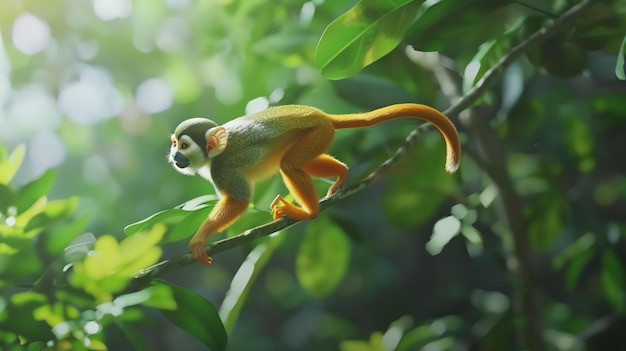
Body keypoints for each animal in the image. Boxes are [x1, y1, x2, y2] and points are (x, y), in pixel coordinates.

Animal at [168, 104, 460, 264]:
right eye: (174, 144)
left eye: (185, 146)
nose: (174, 156)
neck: (212, 156)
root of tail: (324, 115)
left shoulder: (222, 169)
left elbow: (239, 200)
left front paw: (201, 237)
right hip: (321, 135)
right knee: (298, 162)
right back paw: (341, 172)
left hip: (318, 131)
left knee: (288, 164)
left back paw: (309, 212)